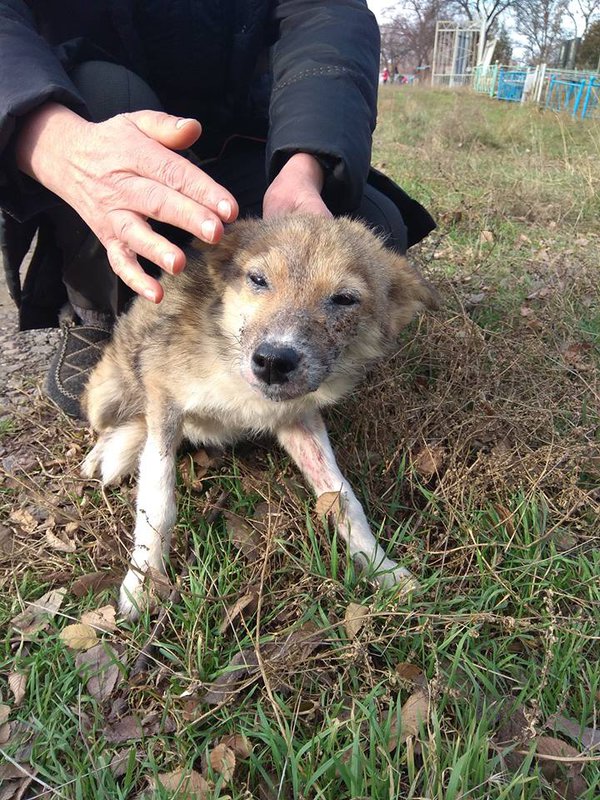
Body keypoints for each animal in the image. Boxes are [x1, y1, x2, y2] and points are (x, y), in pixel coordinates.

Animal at [81, 214, 436, 620]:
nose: (273, 362)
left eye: (345, 298)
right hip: (107, 393)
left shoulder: (299, 419)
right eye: (258, 279)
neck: (239, 385)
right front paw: (142, 583)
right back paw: (103, 455)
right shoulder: (163, 396)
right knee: (115, 422)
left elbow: (344, 498)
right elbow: (158, 499)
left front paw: (383, 569)